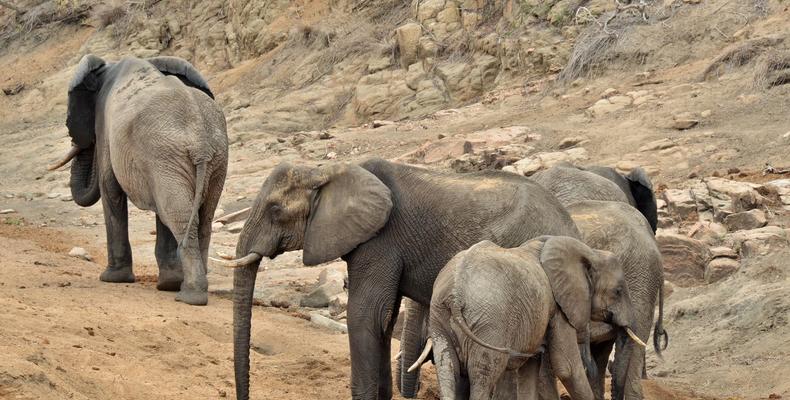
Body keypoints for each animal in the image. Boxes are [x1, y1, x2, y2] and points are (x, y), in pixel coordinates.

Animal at [48, 54, 229, 306]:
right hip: (206, 159)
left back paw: (189, 296)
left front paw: (112, 279)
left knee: (179, 216)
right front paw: (167, 284)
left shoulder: (105, 124)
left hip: (171, 154)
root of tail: (201, 141)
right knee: (199, 217)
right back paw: (184, 288)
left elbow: (110, 187)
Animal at [217, 159, 580, 400]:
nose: (244, 394)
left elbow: (366, 315)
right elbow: (384, 318)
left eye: (275, 210)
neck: (329, 170)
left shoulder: (380, 241)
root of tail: (570, 224)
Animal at [414, 236, 644, 398]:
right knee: (483, 375)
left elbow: (530, 367)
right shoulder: (558, 306)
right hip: (490, 323)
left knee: (447, 369)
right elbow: (567, 368)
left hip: (440, 319)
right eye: (618, 291)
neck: (589, 251)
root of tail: (455, 293)